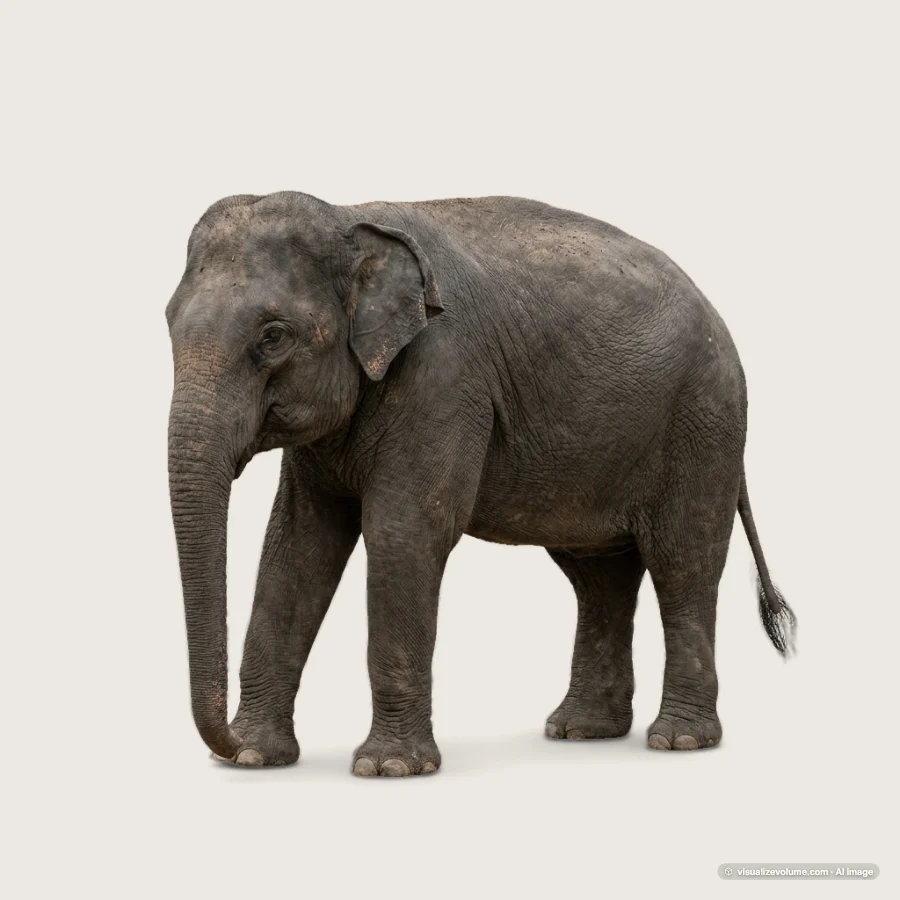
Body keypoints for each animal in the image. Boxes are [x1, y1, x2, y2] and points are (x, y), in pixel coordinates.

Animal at [166, 191, 795, 776]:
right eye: (168, 323)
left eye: (273, 336)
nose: (226, 744)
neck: (350, 216)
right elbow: (297, 547)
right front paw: (256, 758)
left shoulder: (443, 376)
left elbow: (402, 536)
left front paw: (388, 768)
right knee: (600, 576)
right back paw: (581, 730)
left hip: (703, 426)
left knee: (683, 564)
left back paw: (679, 740)